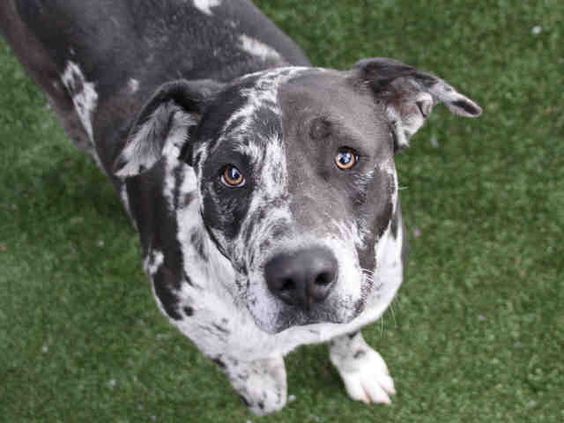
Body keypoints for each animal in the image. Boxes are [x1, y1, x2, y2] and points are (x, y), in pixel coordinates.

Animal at [2, 0, 482, 416]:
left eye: (346, 157)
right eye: (230, 173)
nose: (301, 277)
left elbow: (349, 332)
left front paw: (358, 367)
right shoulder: (189, 315)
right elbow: (256, 374)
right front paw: (259, 379)